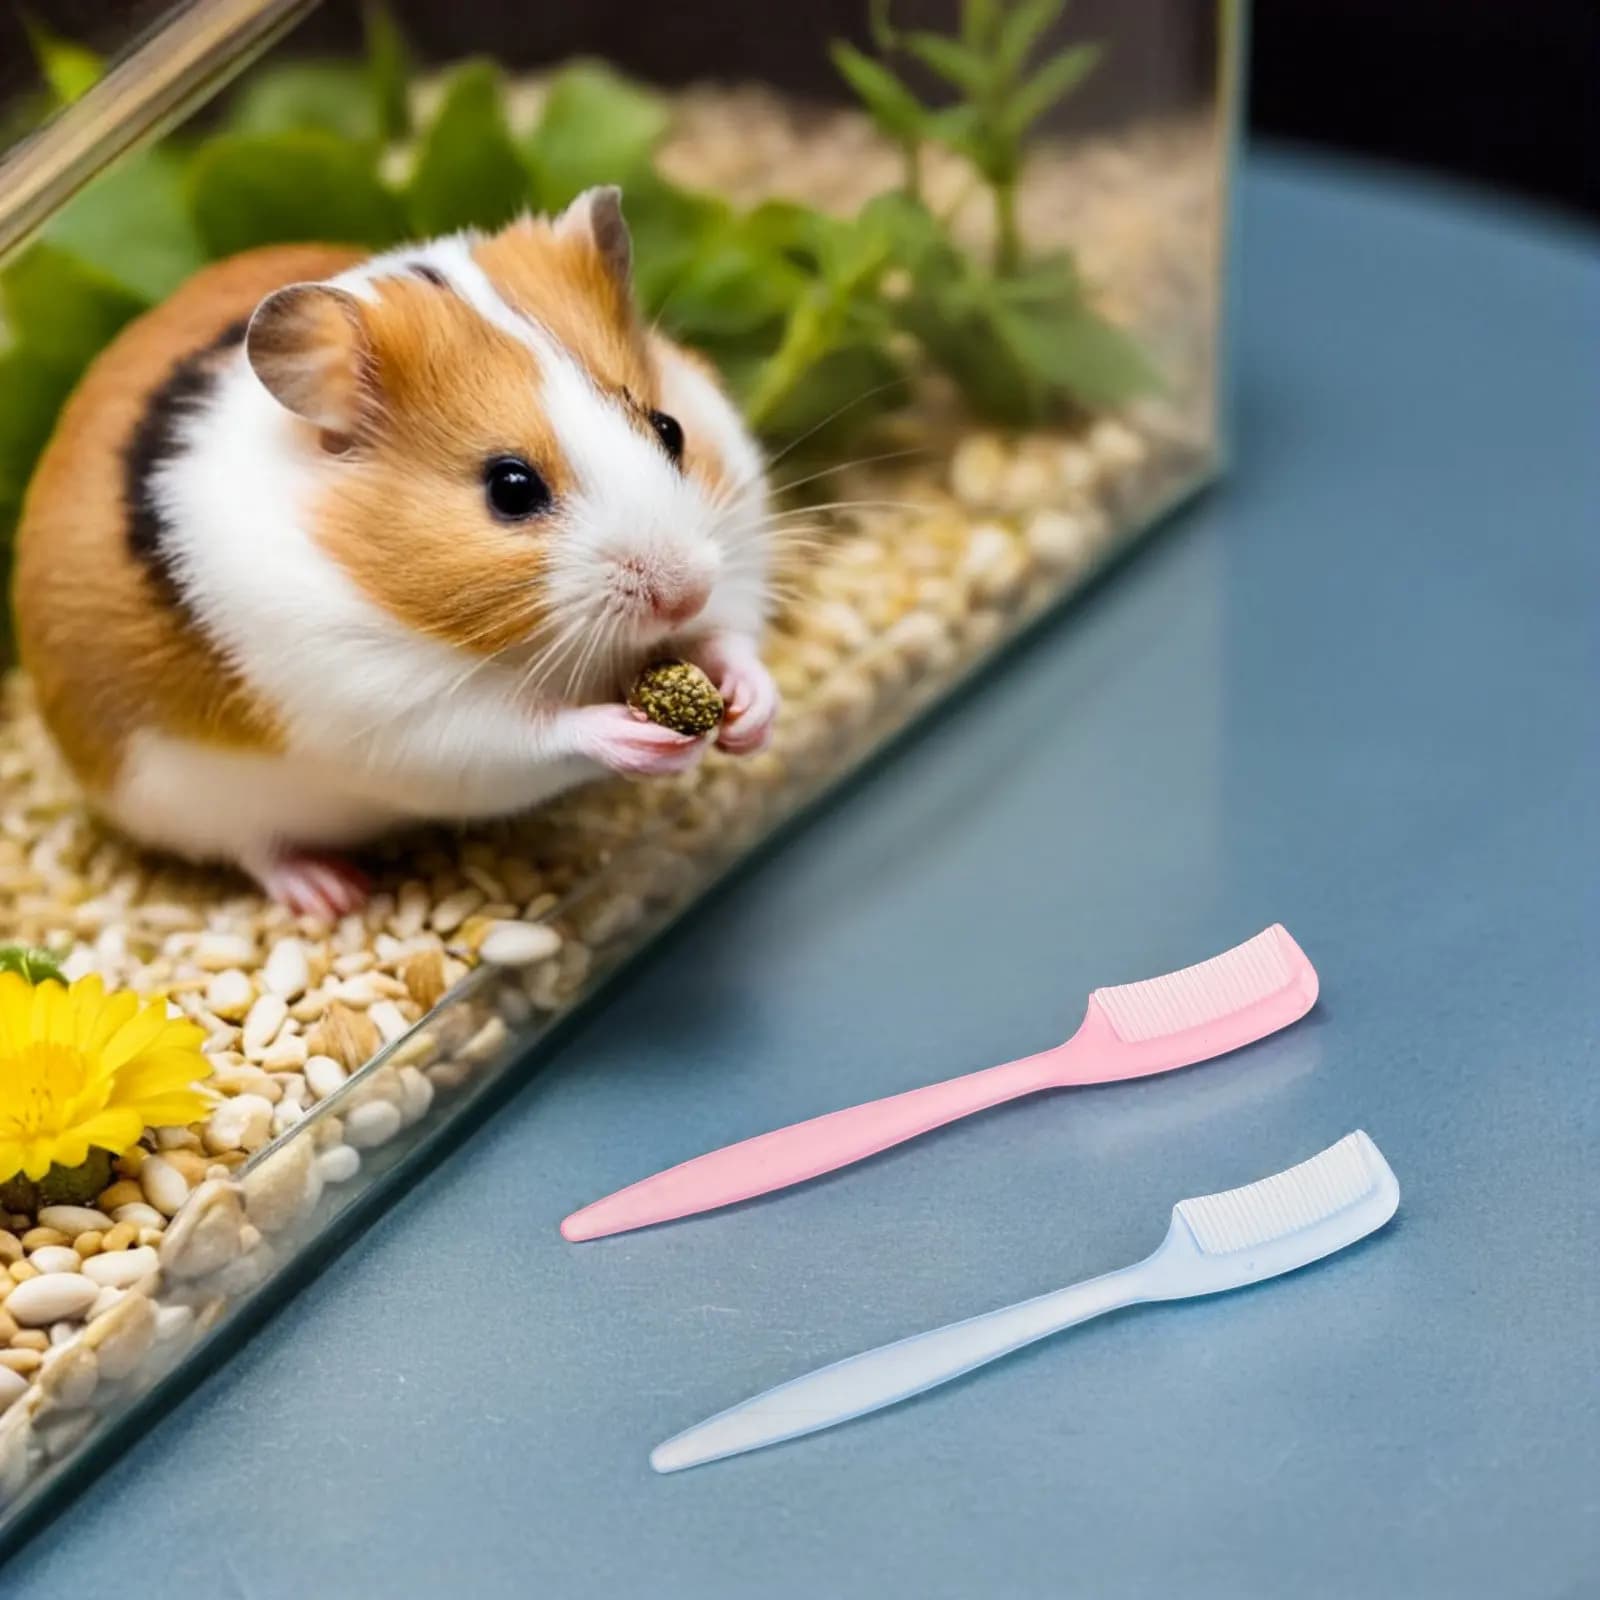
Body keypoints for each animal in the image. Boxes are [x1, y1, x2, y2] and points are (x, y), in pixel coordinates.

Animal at [13, 187, 779, 917]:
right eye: (510, 489)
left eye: (670, 428)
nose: (683, 593)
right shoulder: (406, 718)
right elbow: (537, 730)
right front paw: (648, 742)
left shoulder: (736, 552)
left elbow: (732, 637)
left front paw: (750, 717)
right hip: (176, 799)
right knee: (251, 848)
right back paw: (331, 892)